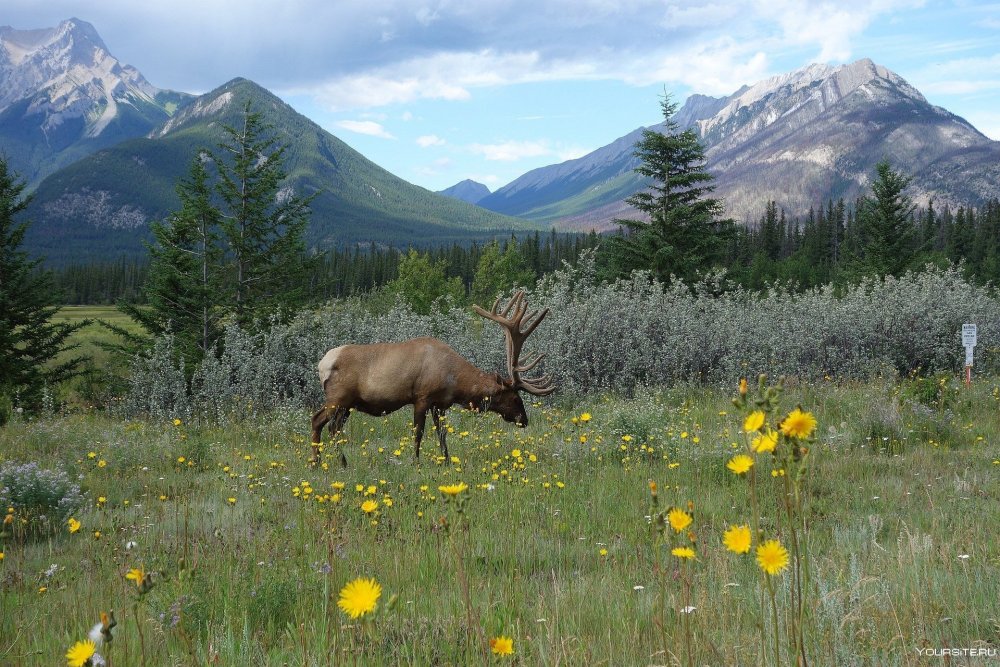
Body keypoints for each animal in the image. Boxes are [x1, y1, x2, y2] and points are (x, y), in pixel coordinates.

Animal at [308, 290, 556, 468]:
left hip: (348, 405)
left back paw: (333, 462)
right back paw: (322, 463)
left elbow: (442, 434)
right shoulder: (422, 397)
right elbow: (418, 433)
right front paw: (415, 463)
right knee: (319, 421)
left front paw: (446, 461)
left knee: (333, 428)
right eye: (514, 398)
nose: (524, 419)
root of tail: (322, 365)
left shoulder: (440, 404)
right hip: (338, 398)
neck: (456, 383)